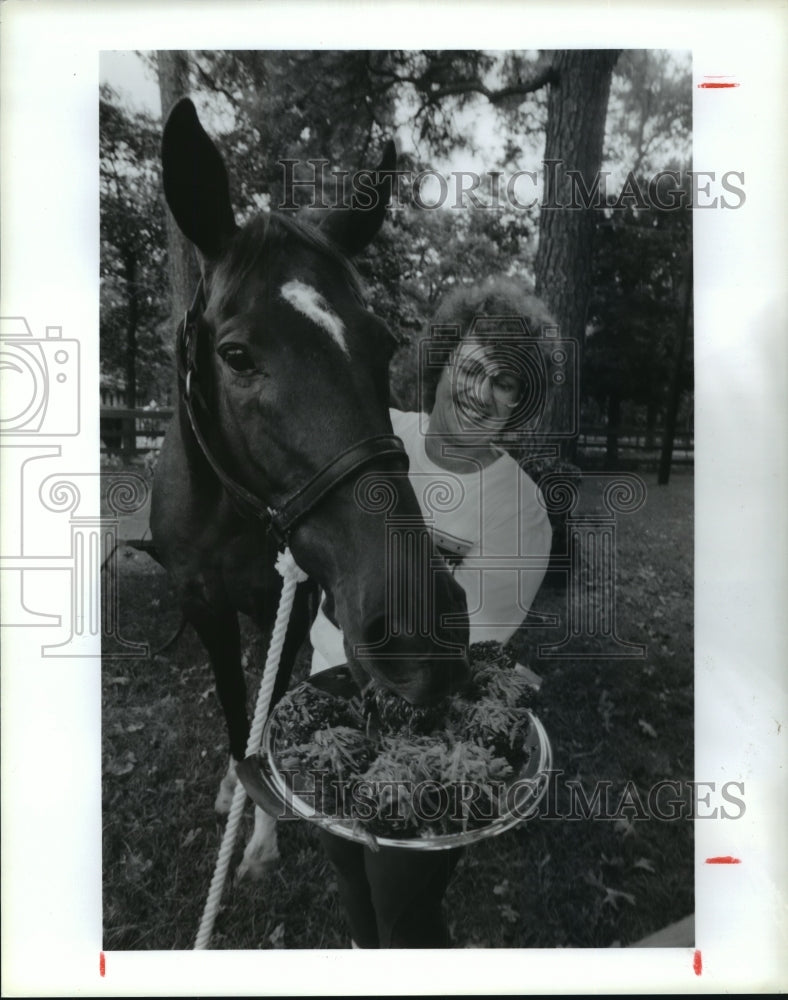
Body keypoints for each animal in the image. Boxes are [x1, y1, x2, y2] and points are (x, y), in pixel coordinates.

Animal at [150, 99, 468, 876]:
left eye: (384, 345)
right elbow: (238, 712)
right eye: (236, 355)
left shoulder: (290, 603)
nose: (421, 629)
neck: (232, 517)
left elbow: (265, 711)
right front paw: (241, 797)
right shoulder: (201, 601)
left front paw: (262, 829)